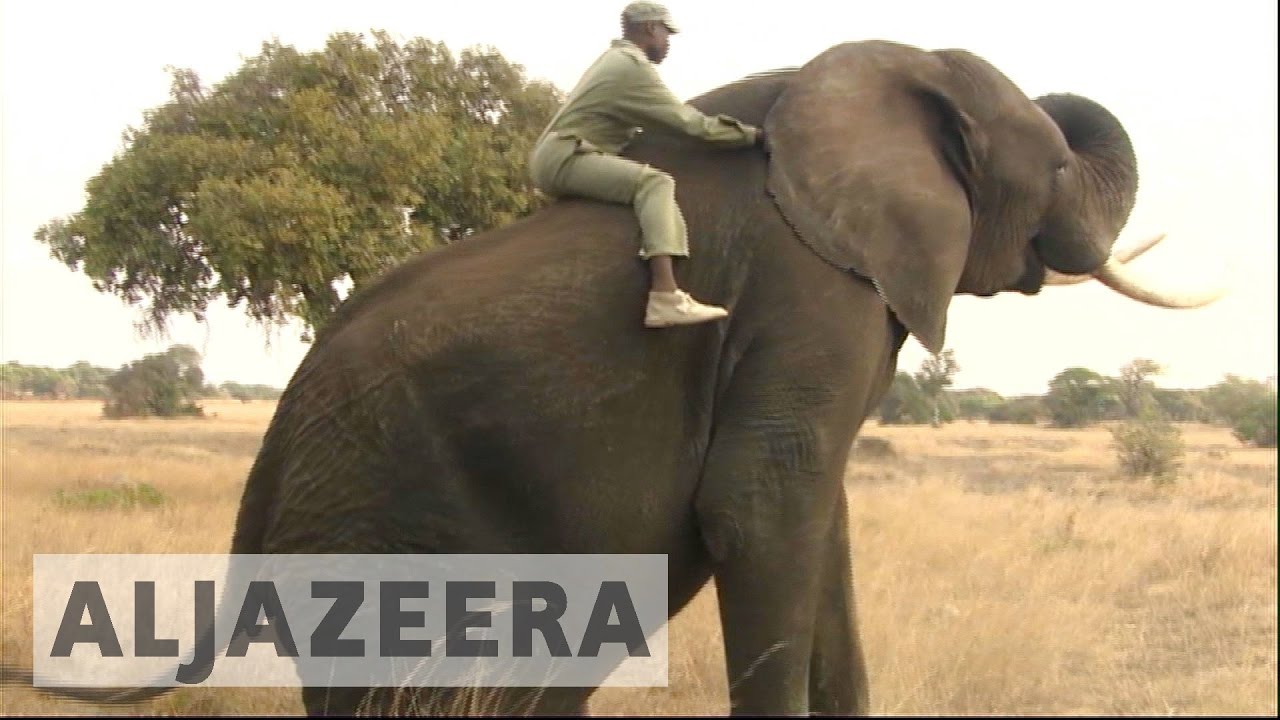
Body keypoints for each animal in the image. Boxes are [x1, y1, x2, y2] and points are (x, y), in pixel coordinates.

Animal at [2, 39, 1223, 716]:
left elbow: (816, 519)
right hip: (377, 522)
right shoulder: (806, 290)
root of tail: (259, 481)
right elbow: (762, 507)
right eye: (1057, 165)